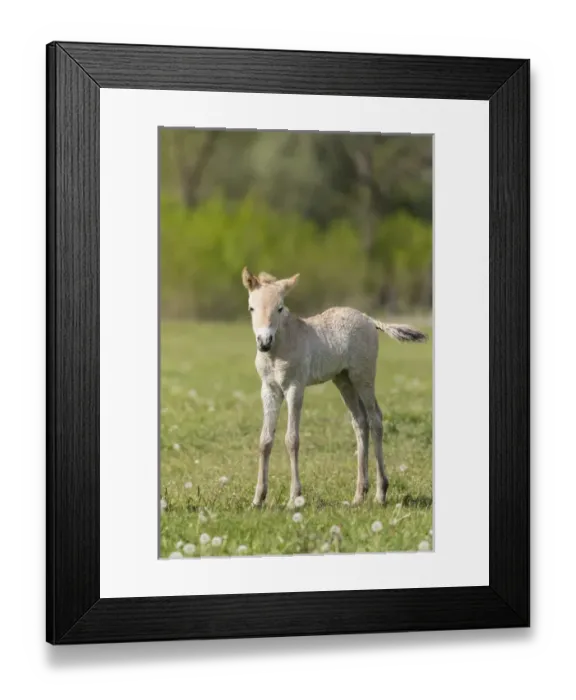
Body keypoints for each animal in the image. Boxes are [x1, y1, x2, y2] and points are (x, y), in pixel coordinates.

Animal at [241, 267, 428, 509]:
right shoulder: (269, 389)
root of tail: (369, 319)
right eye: (251, 308)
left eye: (280, 308)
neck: (279, 349)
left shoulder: (295, 388)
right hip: (344, 380)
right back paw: (359, 495)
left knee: (375, 419)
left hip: (363, 377)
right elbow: (265, 440)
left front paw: (294, 498)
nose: (264, 342)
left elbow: (292, 439)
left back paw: (380, 494)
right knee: (360, 421)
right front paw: (257, 500)